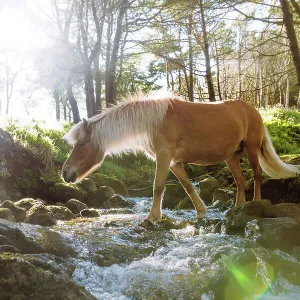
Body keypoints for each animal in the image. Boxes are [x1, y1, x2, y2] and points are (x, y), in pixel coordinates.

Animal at [61, 95, 300, 224]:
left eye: (81, 144)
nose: (65, 172)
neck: (153, 122)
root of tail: (253, 110)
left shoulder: (165, 157)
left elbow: (158, 187)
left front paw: (152, 217)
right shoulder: (175, 162)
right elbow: (188, 186)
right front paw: (201, 212)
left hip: (251, 150)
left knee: (257, 175)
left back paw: (255, 204)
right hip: (232, 158)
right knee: (240, 182)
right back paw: (237, 208)